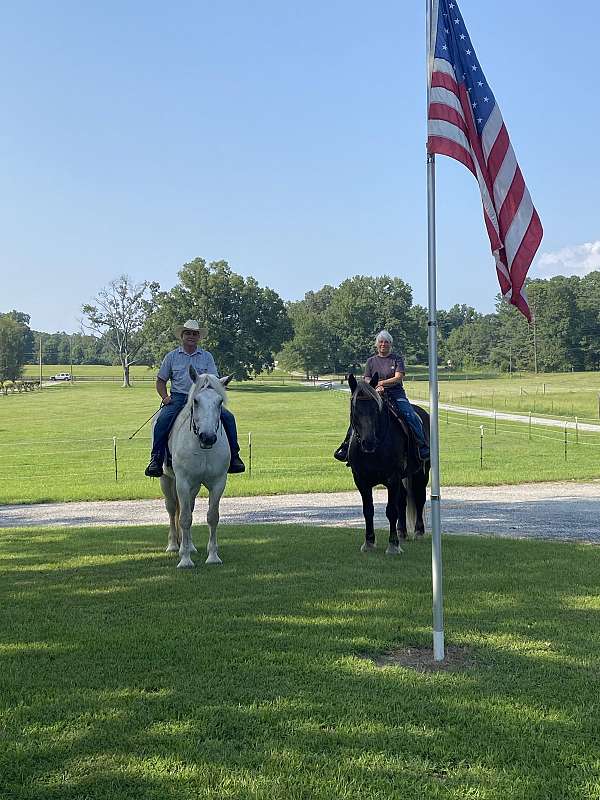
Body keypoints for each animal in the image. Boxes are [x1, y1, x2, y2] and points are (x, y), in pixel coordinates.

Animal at [158, 368, 231, 568]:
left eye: (219, 402)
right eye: (196, 401)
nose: (208, 437)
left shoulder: (218, 483)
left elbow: (212, 517)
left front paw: (213, 556)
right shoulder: (182, 482)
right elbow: (184, 519)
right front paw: (185, 561)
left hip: (194, 487)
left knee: (187, 508)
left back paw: (188, 546)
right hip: (167, 480)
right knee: (172, 509)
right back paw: (174, 546)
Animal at [344, 374, 428, 552]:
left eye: (376, 409)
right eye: (355, 409)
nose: (368, 442)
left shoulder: (392, 477)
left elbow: (391, 510)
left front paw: (393, 545)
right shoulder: (360, 479)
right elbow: (368, 510)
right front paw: (369, 542)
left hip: (421, 472)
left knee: (419, 497)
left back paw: (418, 531)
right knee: (403, 499)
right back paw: (402, 532)